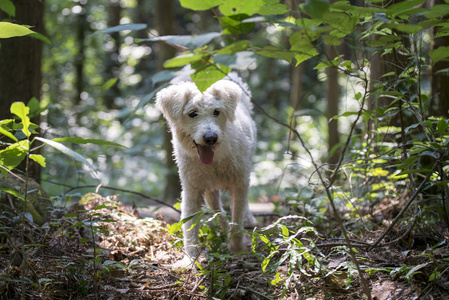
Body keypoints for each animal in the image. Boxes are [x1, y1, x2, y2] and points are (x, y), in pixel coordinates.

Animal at [156, 74, 258, 262]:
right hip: (210, 192)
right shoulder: (191, 190)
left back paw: (247, 221)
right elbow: (189, 224)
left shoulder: (239, 184)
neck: (215, 160)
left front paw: (237, 248)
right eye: (192, 114)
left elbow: (237, 217)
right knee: (219, 211)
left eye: (216, 112)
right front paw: (191, 257)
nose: (211, 138)